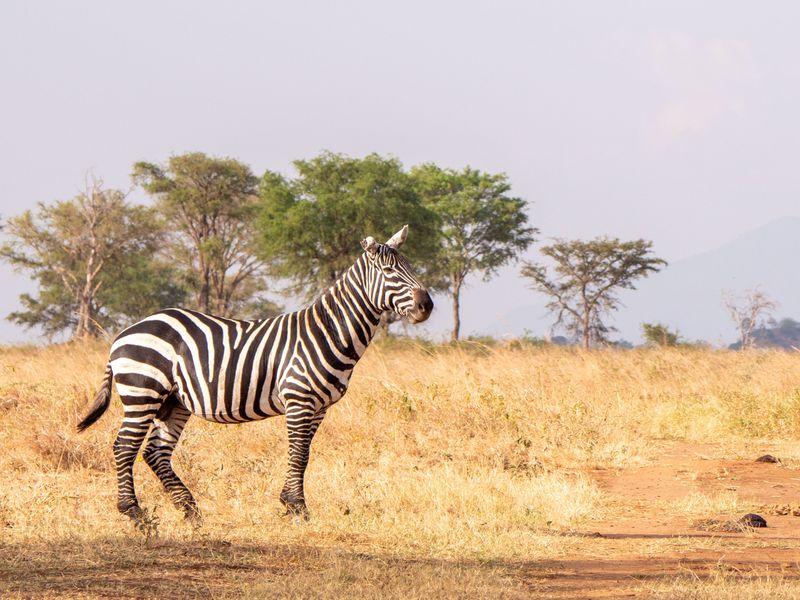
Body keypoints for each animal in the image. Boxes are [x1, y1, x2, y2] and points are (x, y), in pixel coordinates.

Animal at [78, 223, 434, 524]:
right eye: (389, 271)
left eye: (411, 267)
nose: (427, 305)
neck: (328, 331)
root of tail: (124, 333)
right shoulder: (299, 400)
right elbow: (298, 454)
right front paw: (297, 508)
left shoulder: (319, 407)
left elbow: (304, 454)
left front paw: (290, 502)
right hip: (143, 392)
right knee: (124, 447)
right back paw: (134, 513)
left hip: (173, 401)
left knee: (155, 452)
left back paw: (190, 510)